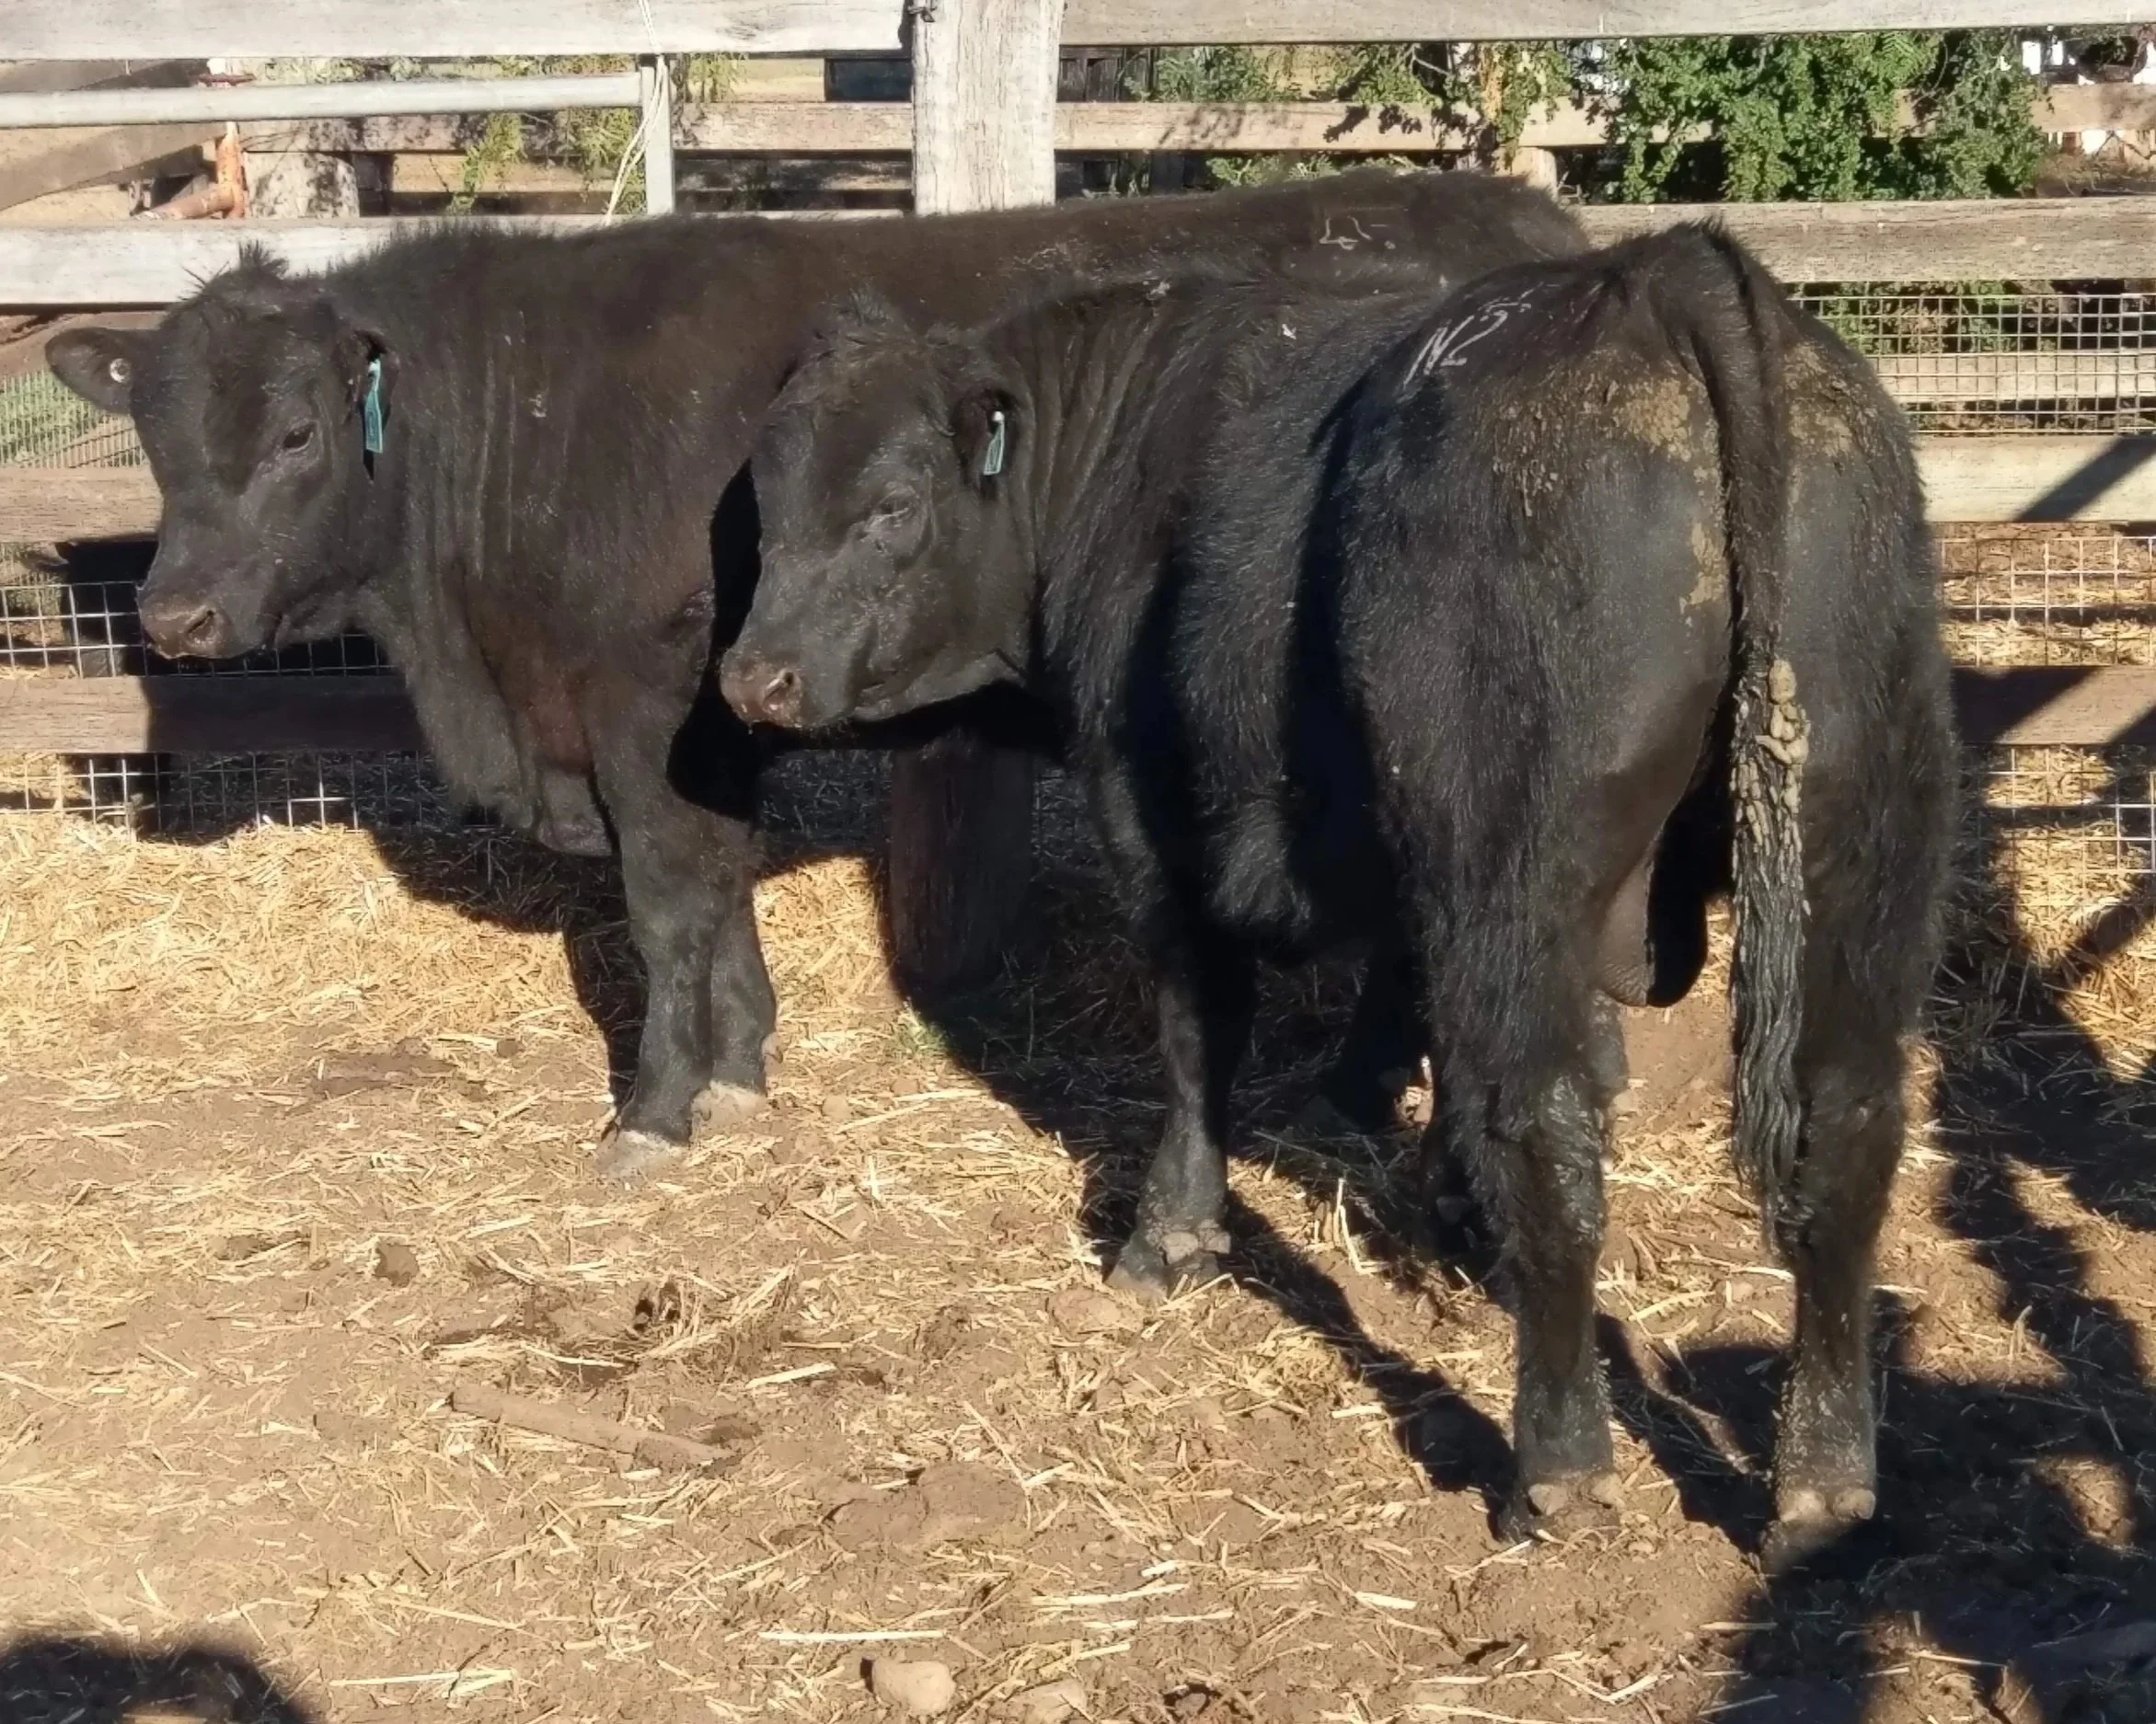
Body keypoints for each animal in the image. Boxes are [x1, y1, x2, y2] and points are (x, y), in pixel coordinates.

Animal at [46, 170, 1586, 1184]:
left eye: (298, 431)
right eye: (155, 437)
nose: (174, 612)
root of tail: (1523, 221)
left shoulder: (645, 705)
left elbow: (666, 909)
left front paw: (654, 1113)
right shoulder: (710, 721)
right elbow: (718, 895)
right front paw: (738, 1069)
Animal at [719, 226, 1957, 1561]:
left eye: (892, 507)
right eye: (767, 504)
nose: (753, 677)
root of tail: (1650, 278)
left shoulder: (1153, 817)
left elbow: (1198, 1031)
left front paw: (1168, 1233)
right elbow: (1415, 1017)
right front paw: (1447, 1210)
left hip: (1516, 865)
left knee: (1552, 1130)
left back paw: (1557, 1470)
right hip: (1854, 848)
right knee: (1843, 1129)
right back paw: (1823, 1490)